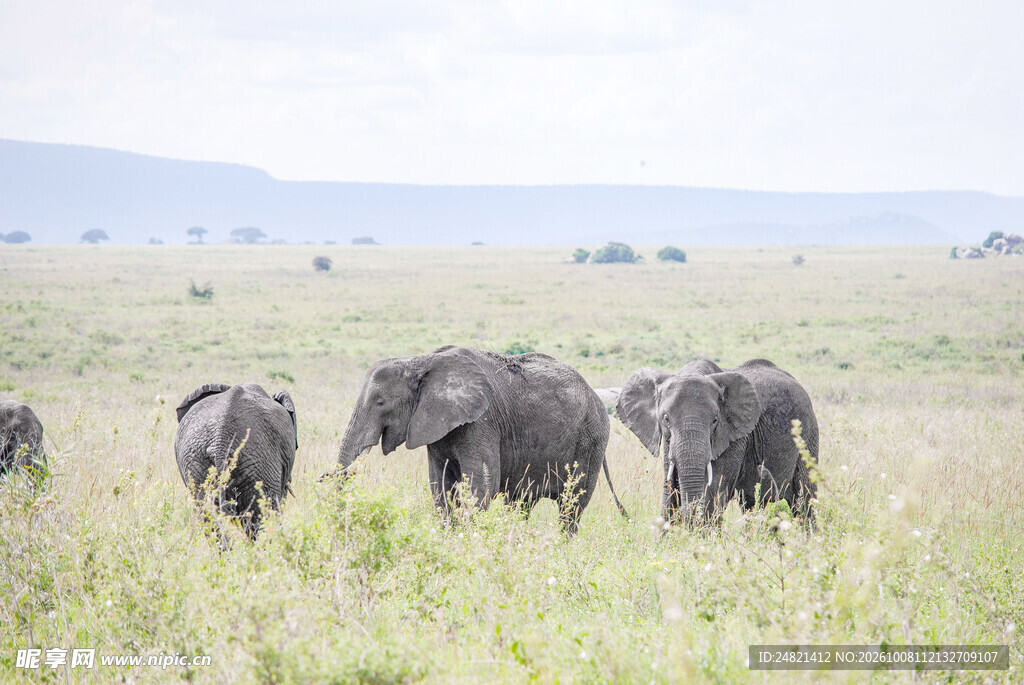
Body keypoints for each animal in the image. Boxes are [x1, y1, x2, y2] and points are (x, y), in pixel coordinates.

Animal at [333, 345, 627, 534]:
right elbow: (441, 486)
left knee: (571, 506)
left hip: (591, 439)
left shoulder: (482, 422)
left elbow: (481, 486)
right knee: (522, 503)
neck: (420, 361)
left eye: (380, 402)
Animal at [616, 359, 818, 524]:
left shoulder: (734, 436)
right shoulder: (667, 441)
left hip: (808, 434)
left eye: (714, 421)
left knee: (804, 497)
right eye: (665, 419)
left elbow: (714, 487)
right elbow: (670, 487)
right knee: (750, 503)